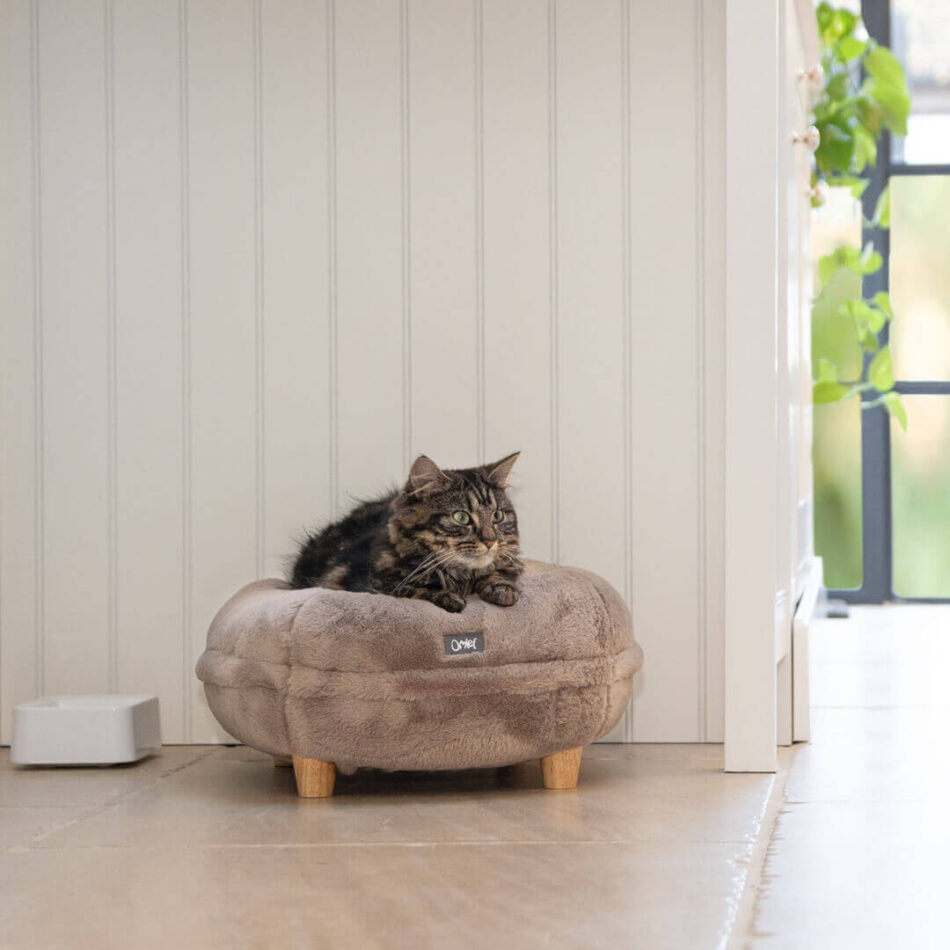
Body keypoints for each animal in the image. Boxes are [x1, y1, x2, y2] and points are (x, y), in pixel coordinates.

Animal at [290, 456, 528, 616]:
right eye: (461, 517)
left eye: (497, 516)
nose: (490, 541)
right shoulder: (361, 583)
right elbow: (409, 589)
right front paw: (446, 596)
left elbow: (497, 572)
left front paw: (502, 589)